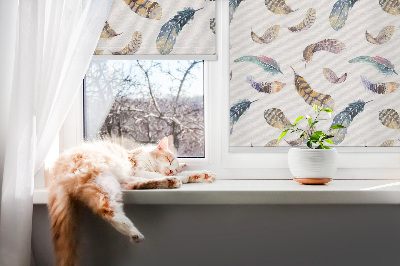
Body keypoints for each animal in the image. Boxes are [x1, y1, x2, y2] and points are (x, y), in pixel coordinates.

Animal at [48, 137, 217, 266]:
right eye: (169, 160)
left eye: (174, 167)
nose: (171, 171)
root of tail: (56, 172)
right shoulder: (136, 170)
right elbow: (154, 174)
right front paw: (183, 176)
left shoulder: (134, 174)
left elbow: (185, 174)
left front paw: (202, 175)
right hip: (103, 178)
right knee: (107, 209)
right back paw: (134, 232)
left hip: (114, 181)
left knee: (133, 186)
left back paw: (170, 182)